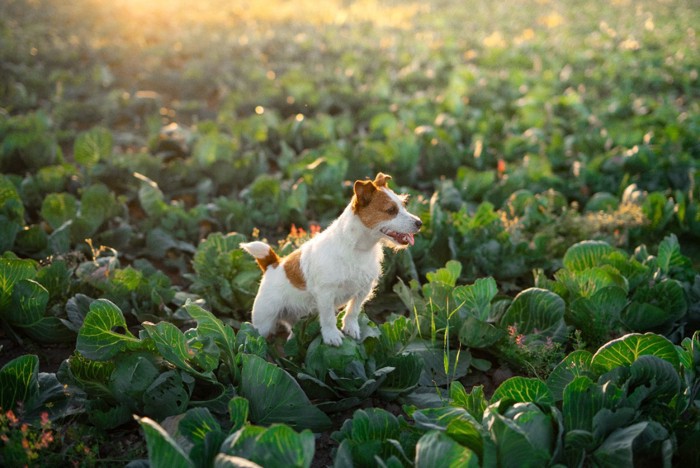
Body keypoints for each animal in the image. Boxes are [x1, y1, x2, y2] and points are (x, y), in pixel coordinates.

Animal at [242, 174, 422, 346]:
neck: (356, 248)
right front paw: (332, 336)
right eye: (391, 210)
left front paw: (350, 327)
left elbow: (353, 310)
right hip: (264, 322)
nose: (419, 223)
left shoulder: (364, 288)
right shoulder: (325, 293)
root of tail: (273, 264)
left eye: (403, 205)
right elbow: (328, 317)